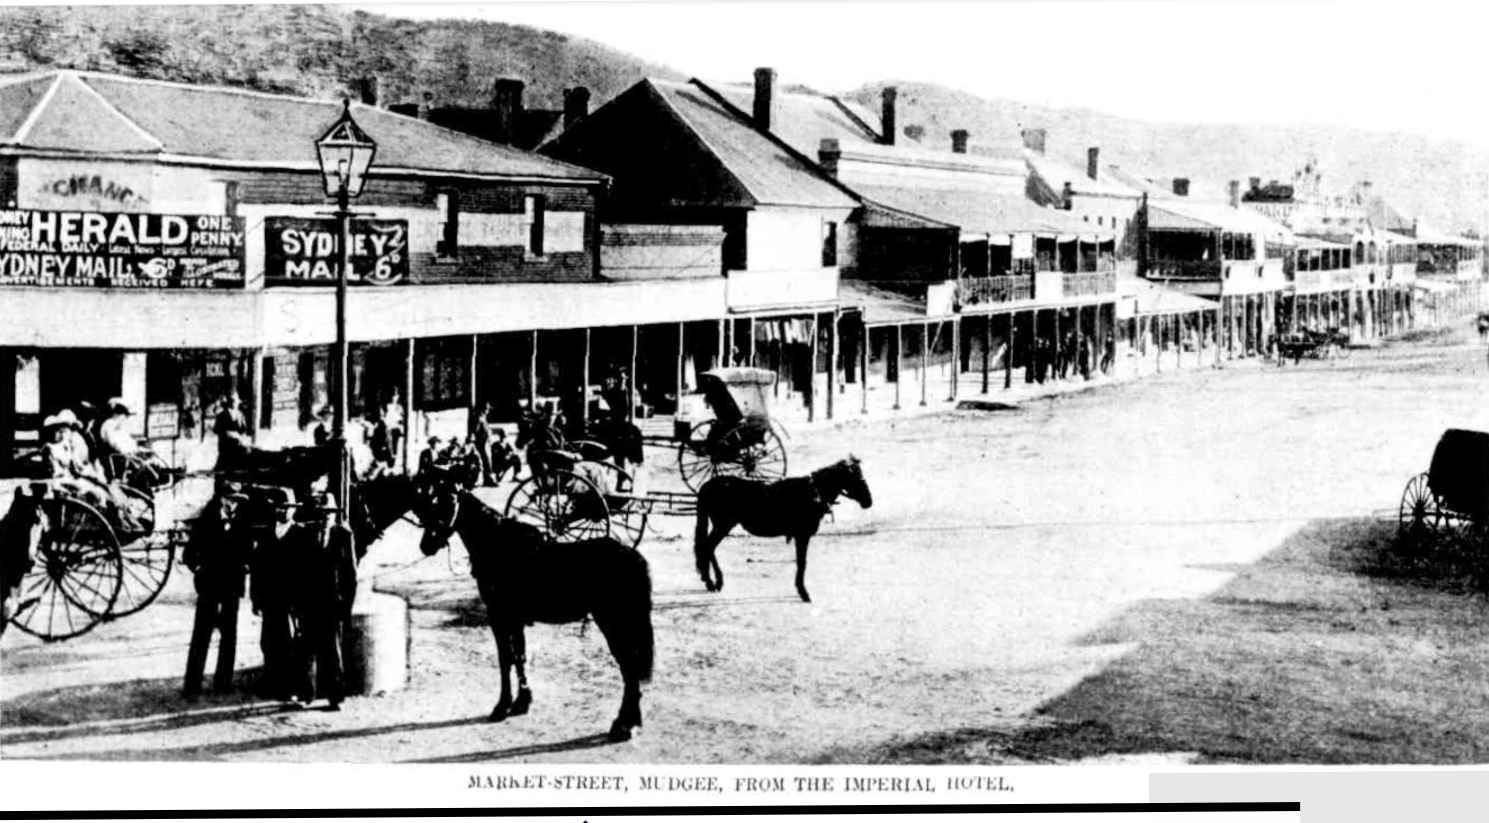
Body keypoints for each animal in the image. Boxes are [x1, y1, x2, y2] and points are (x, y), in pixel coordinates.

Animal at [416, 470, 655, 741]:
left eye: (448, 501)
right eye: (431, 500)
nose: (426, 545)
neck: (498, 545)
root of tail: (634, 558)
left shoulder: (499, 616)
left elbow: (505, 659)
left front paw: (502, 706)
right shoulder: (515, 619)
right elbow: (519, 656)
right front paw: (522, 702)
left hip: (614, 622)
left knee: (629, 667)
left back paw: (623, 726)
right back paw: (630, 722)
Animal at [693, 452, 869, 601]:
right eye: (855, 476)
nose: (868, 500)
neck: (814, 492)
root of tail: (708, 485)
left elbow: (800, 561)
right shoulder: (802, 535)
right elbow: (802, 562)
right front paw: (803, 592)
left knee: (707, 548)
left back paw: (710, 580)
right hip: (723, 525)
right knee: (707, 547)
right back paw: (713, 582)